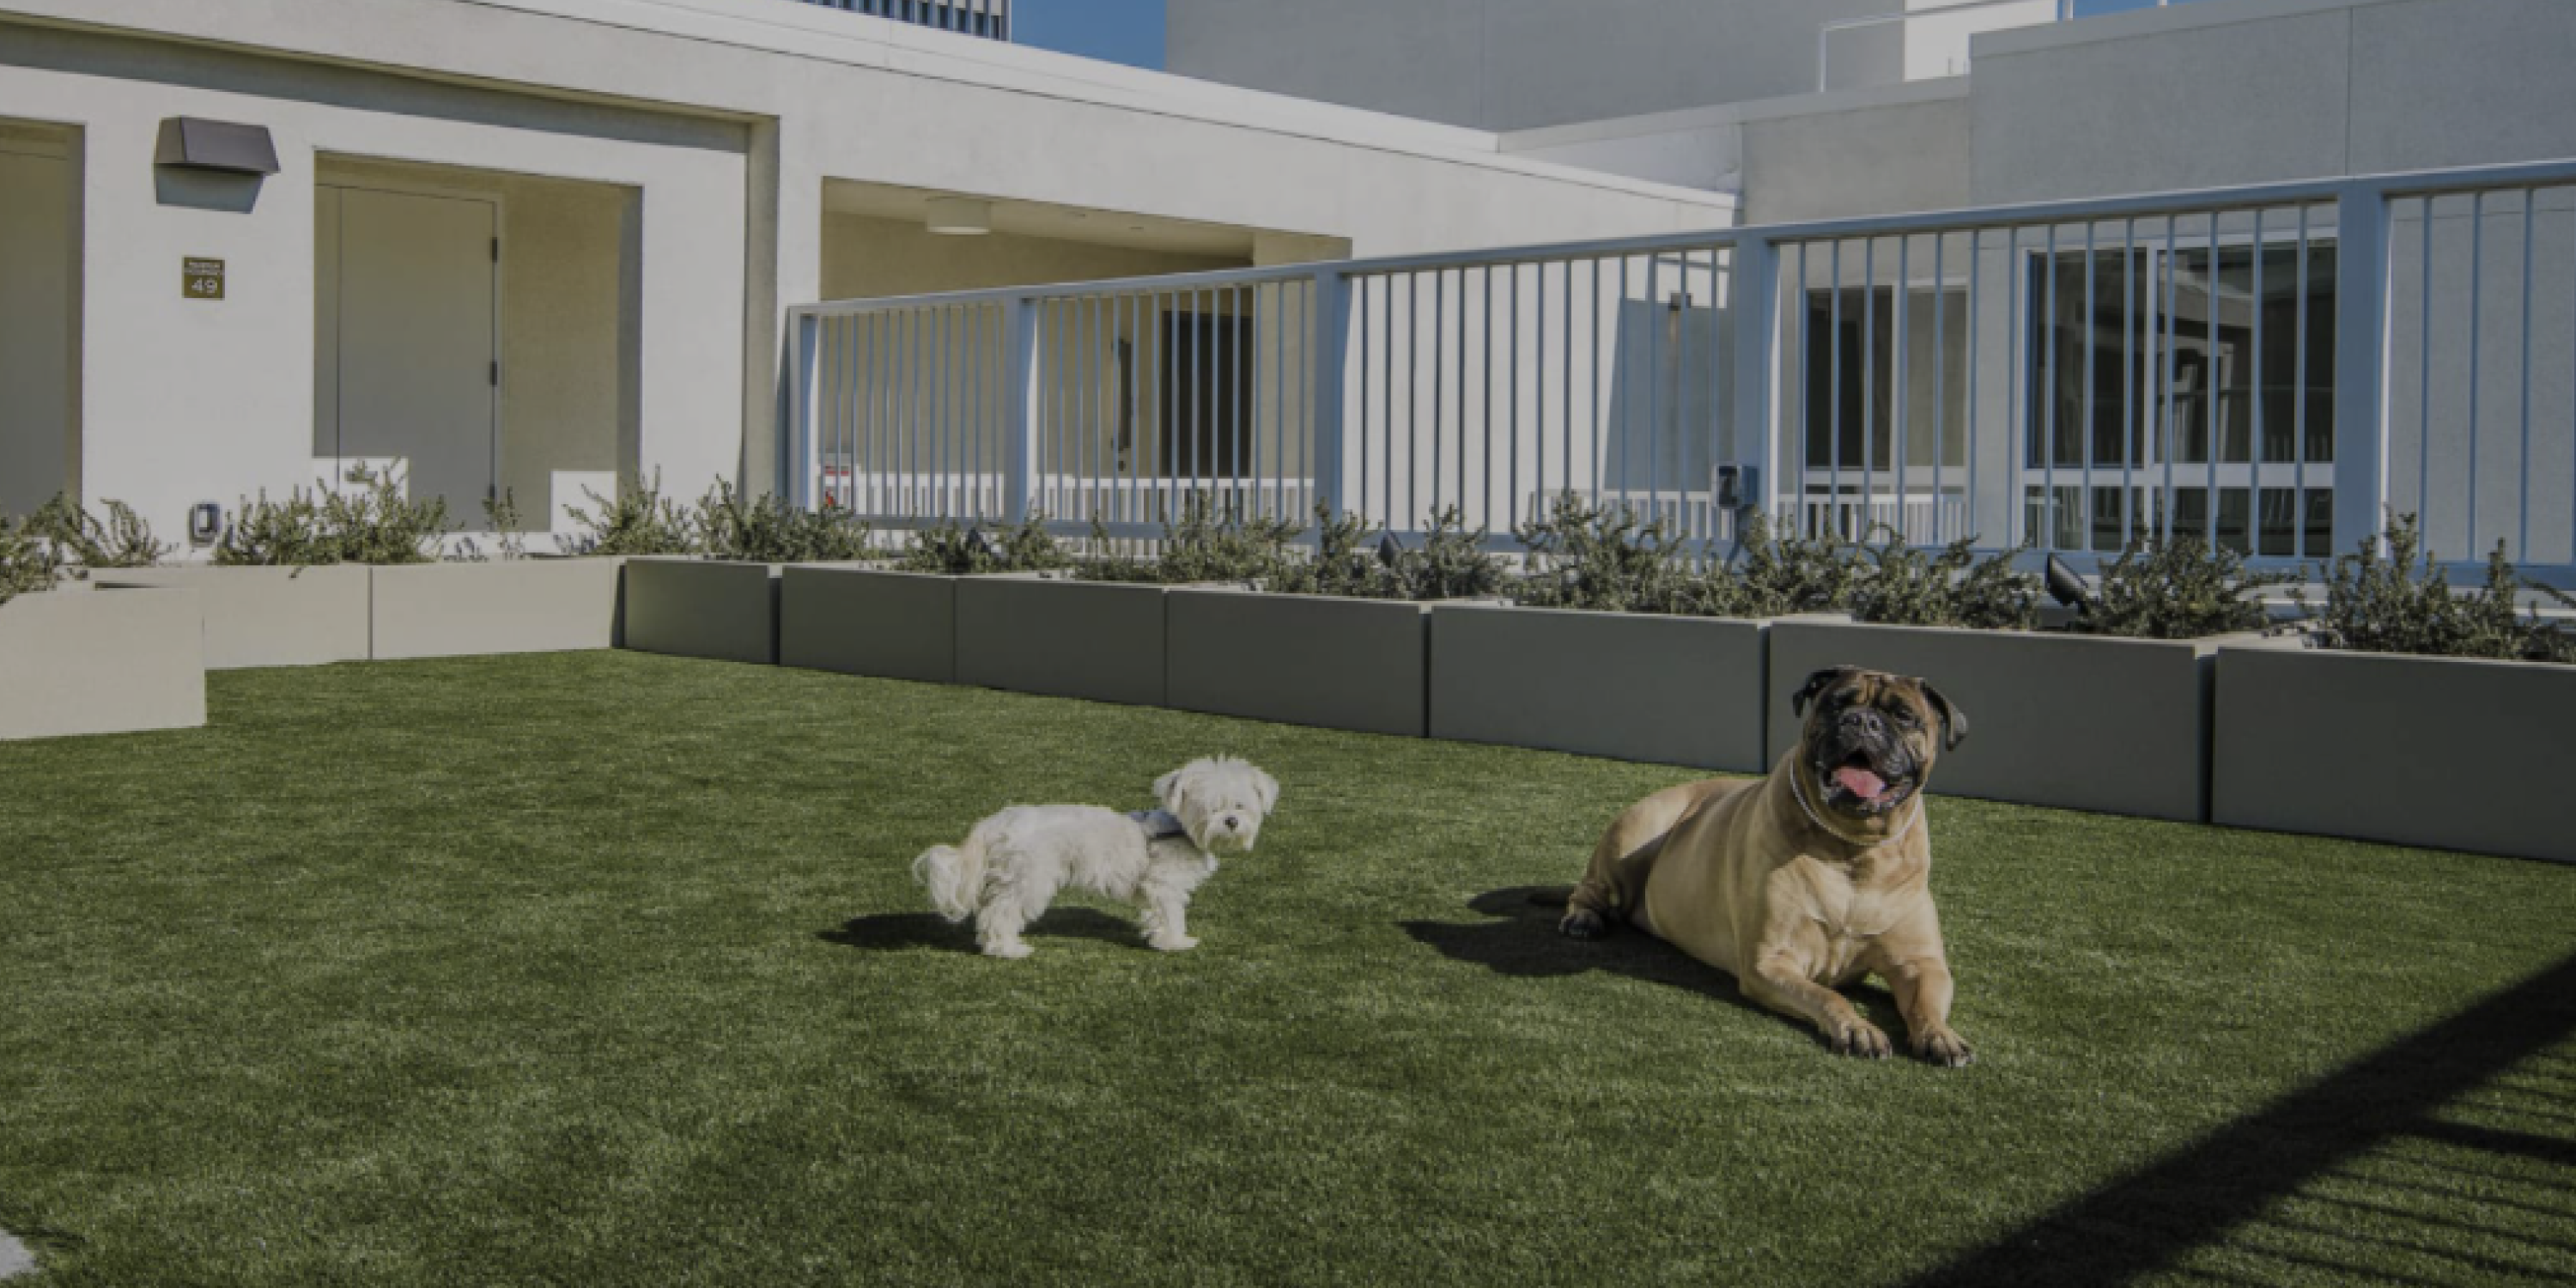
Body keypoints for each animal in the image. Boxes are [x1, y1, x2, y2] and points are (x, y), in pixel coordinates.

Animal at [912, 752, 1283, 958]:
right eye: (1211, 808)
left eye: (1240, 805)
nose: (1231, 821)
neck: (1179, 830)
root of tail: (997, 822)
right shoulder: (1164, 885)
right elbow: (1172, 915)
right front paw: (1176, 942)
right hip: (1029, 880)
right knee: (999, 914)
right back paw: (1007, 949)